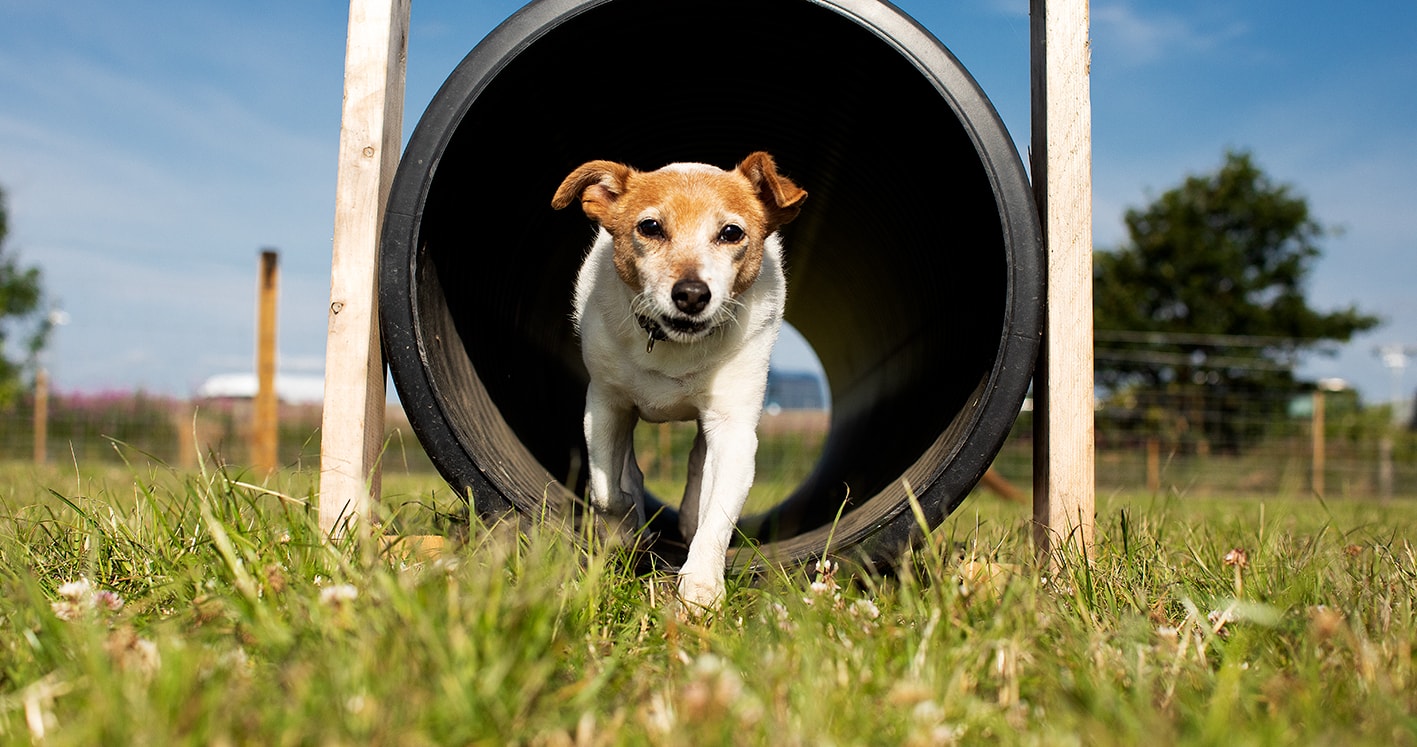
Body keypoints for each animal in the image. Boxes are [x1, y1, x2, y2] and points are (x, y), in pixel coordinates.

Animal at [546, 151, 804, 615]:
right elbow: (607, 491)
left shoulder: (734, 429)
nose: (691, 294)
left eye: (731, 232)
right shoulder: (606, 405)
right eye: (650, 227)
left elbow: (716, 513)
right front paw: (626, 530)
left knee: (699, 467)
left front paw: (701, 586)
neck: (675, 346)